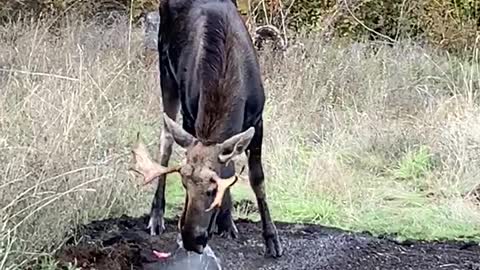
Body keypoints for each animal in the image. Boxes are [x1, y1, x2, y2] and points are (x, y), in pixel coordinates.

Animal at [129, 0, 284, 258]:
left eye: (213, 189)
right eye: (184, 185)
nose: (192, 239)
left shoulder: (258, 119)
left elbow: (255, 177)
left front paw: (270, 238)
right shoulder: (191, 117)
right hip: (165, 70)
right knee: (166, 139)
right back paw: (156, 216)